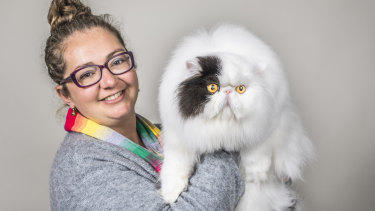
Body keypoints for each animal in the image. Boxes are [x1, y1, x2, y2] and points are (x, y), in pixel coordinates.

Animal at [159, 23, 314, 211]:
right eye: (212, 87)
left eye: (241, 89)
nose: (227, 91)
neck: (224, 126)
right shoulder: (178, 137)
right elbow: (176, 166)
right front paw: (170, 195)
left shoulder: (269, 122)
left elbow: (257, 151)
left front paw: (256, 175)